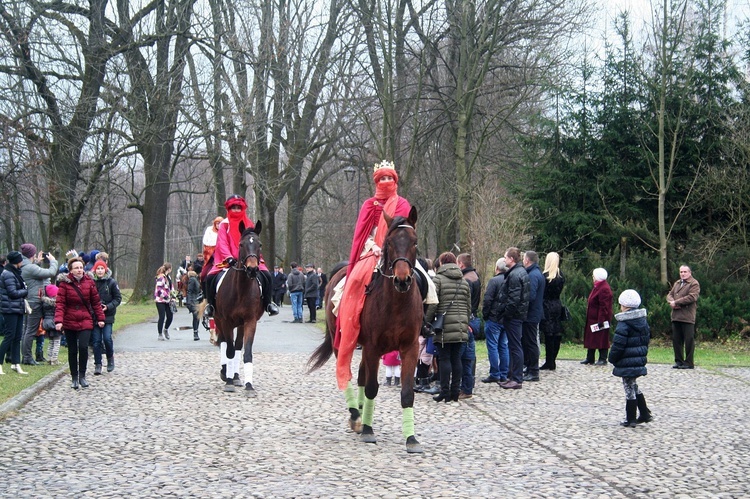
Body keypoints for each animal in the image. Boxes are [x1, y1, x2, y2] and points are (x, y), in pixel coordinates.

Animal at [214, 223, 264, 398]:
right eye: (241, 245)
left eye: (259, 244)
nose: (252, 269)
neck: (241, 289)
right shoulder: (226, 321)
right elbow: (228, 350)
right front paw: (228, 382)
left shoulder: (250, 321)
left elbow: (246, 352)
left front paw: (249, 386)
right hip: (218, 320)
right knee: (224, 343)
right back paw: (226, 374)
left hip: (241, 324)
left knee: (237, 346)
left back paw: (235, 376)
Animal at [306, 206, 424, 454]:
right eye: (389, 242)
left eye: (414, 241)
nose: (402, 280)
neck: (397, 303)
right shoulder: (372, 347)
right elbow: (371, 387)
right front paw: (369, 430)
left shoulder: (410, 347)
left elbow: (407, 393)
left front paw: (411, 439)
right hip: (342, 340)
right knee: (348, 375)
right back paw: (355, 414)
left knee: (360, 375)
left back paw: (360, 413)